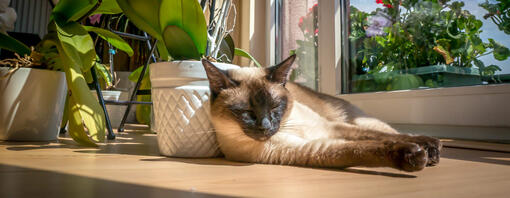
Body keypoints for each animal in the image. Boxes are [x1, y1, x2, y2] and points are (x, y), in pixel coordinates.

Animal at [201, 55, 440, 172]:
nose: (266, 126)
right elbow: (364, 149)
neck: (288, 125)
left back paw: (432, 147)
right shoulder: (313, 149)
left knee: (389, 131)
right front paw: (414, 155)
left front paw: (425, 148)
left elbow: (380, 138)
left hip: (358, 120)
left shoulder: (331, 127)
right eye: (247, 112)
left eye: (275, 107)